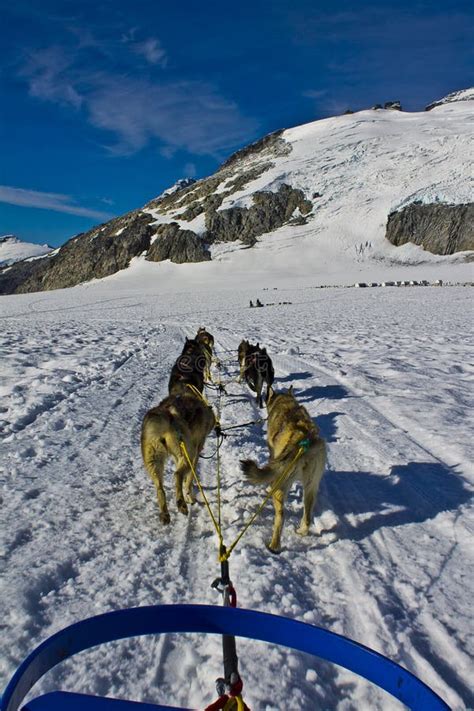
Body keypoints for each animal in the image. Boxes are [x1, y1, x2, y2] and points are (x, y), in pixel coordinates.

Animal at [141, 390, 215, 524]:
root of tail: (167, 414)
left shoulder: (178, 456)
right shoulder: (195, 454)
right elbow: (189, 478)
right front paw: (190, 496)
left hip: (154, 462)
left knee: (160, 488)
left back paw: (165, 514)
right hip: (188, 454)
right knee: (177, 475)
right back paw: (181, 504)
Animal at [241, 386, 326, 552]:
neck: (285, 402)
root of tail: (305, 441)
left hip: (280, 485)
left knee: (281, 517)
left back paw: (274, 546)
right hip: (311, 487)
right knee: (307, 517)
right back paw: (301, 531)